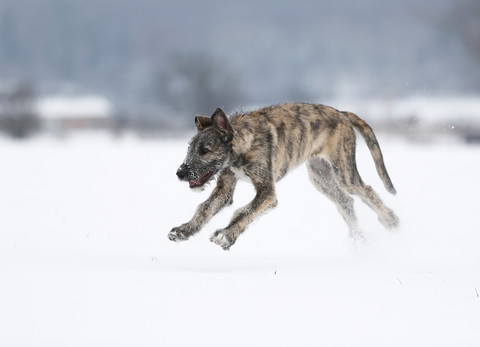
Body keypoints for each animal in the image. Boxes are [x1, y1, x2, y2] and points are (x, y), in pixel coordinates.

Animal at [168, 103, 398, 250]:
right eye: (190, 148)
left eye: (204, 150)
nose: (180, 173)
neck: (242, 144)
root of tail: (341, 113)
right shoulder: (224, 187)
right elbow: (205, 208)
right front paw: (184, 230)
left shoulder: (267, 192)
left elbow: (245, 211)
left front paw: (226, 235)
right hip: (320, 176)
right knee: (345, 201)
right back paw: (358, 240)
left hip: (344, 171)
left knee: (365, 191)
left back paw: (391, 221)